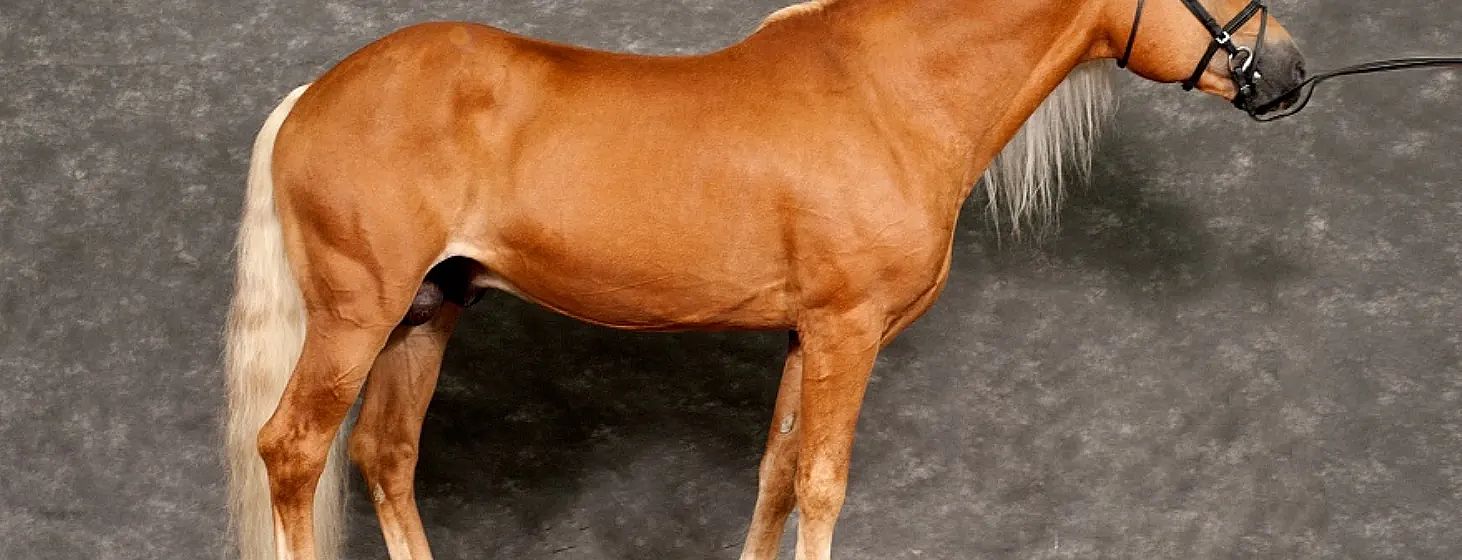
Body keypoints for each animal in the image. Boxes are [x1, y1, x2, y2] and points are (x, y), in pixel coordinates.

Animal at [223, 0, 1307, 558]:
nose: (1290, 71)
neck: (889, 92)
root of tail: (312, 96)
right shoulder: (847, 329)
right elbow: (821, 484)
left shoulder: (804, 335)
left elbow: (777, 477)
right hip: (356, 318)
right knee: (293, 450)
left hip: (426, 315)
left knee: (385, 456)